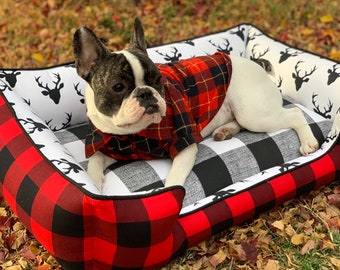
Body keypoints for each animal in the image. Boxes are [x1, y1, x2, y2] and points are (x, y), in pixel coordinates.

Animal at [73, 17, 320, 190]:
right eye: (118, 87)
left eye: (158, 80)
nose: (146, 94)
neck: (136, 134)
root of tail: (257, 66)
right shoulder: (110, 146)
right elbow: (94, 160)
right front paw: (93, 182)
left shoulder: (185, 143)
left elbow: (173, 180)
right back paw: (225, 131)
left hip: (255, 114)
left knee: (294, 114)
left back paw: (308, 142)